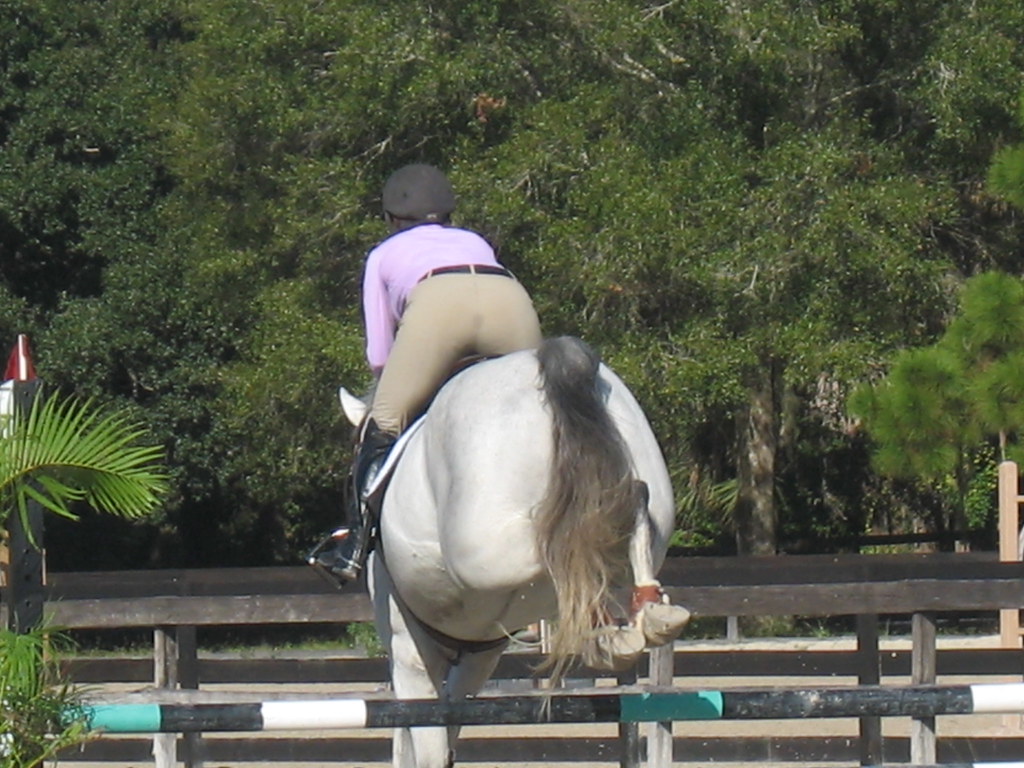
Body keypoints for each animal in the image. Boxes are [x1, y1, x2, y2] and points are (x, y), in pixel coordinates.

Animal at [338, 336, 689, 768]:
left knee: (565, 536)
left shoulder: (408, 648)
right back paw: (643, 615)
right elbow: (449, 720)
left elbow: (430, 739)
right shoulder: (478, 656)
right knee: (624, 508)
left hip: (484, 548)